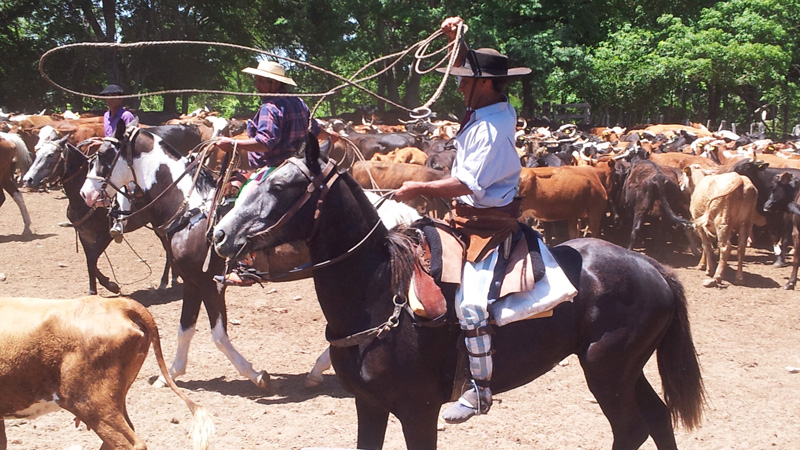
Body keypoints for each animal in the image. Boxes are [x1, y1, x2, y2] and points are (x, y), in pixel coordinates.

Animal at [79, 122, 270, 390]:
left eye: (104, 155)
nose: (85, 194)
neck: (191, 212)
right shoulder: (192, 282)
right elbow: (185, 329)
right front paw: (170, 374)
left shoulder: (208, 283)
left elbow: (219, 335)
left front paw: (254, 374)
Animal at [214, 134, 708, 450]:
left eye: (280, 186)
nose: (220, 234)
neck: (380, 292)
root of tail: (652, 267)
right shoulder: (368, 406)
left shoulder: (417, 411)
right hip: (625, 369)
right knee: (658, 419)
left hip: (607, 370)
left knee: (632, 430)